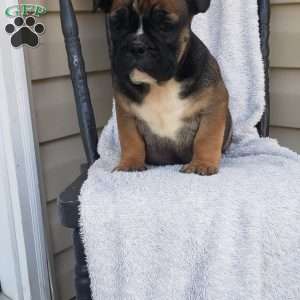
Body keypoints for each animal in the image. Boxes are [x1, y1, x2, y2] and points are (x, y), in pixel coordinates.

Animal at [96, 0, 232, 176]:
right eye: (117, 24)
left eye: (165, 26)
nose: (136, 46)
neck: (160, 84)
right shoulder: (126, 113)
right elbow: (130, 140)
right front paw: (130, 163)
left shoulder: (213, 105)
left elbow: (206, 137)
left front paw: (201, 164)